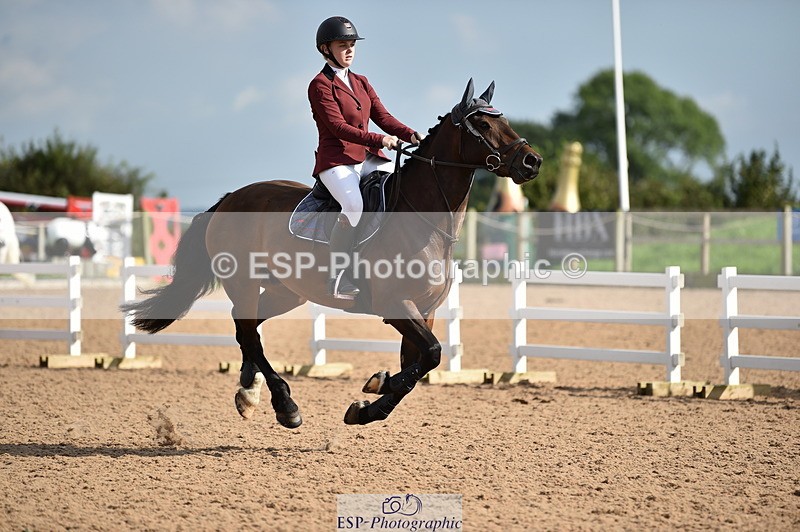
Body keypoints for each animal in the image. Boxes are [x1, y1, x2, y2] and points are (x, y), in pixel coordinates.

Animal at [121, 79, 542, 428]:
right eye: (482, 125)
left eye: (503, 120)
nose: (531, 161)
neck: (423, 221)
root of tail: (230, 199)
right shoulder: (396, 305)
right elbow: (432, 355)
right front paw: (374, 396)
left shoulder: (425, 310)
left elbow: (419, 365)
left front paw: (374, 396)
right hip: (242, 281)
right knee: (249, 332)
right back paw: (285, 406)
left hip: (286, 291)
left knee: (249, 327)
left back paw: (248, 391)